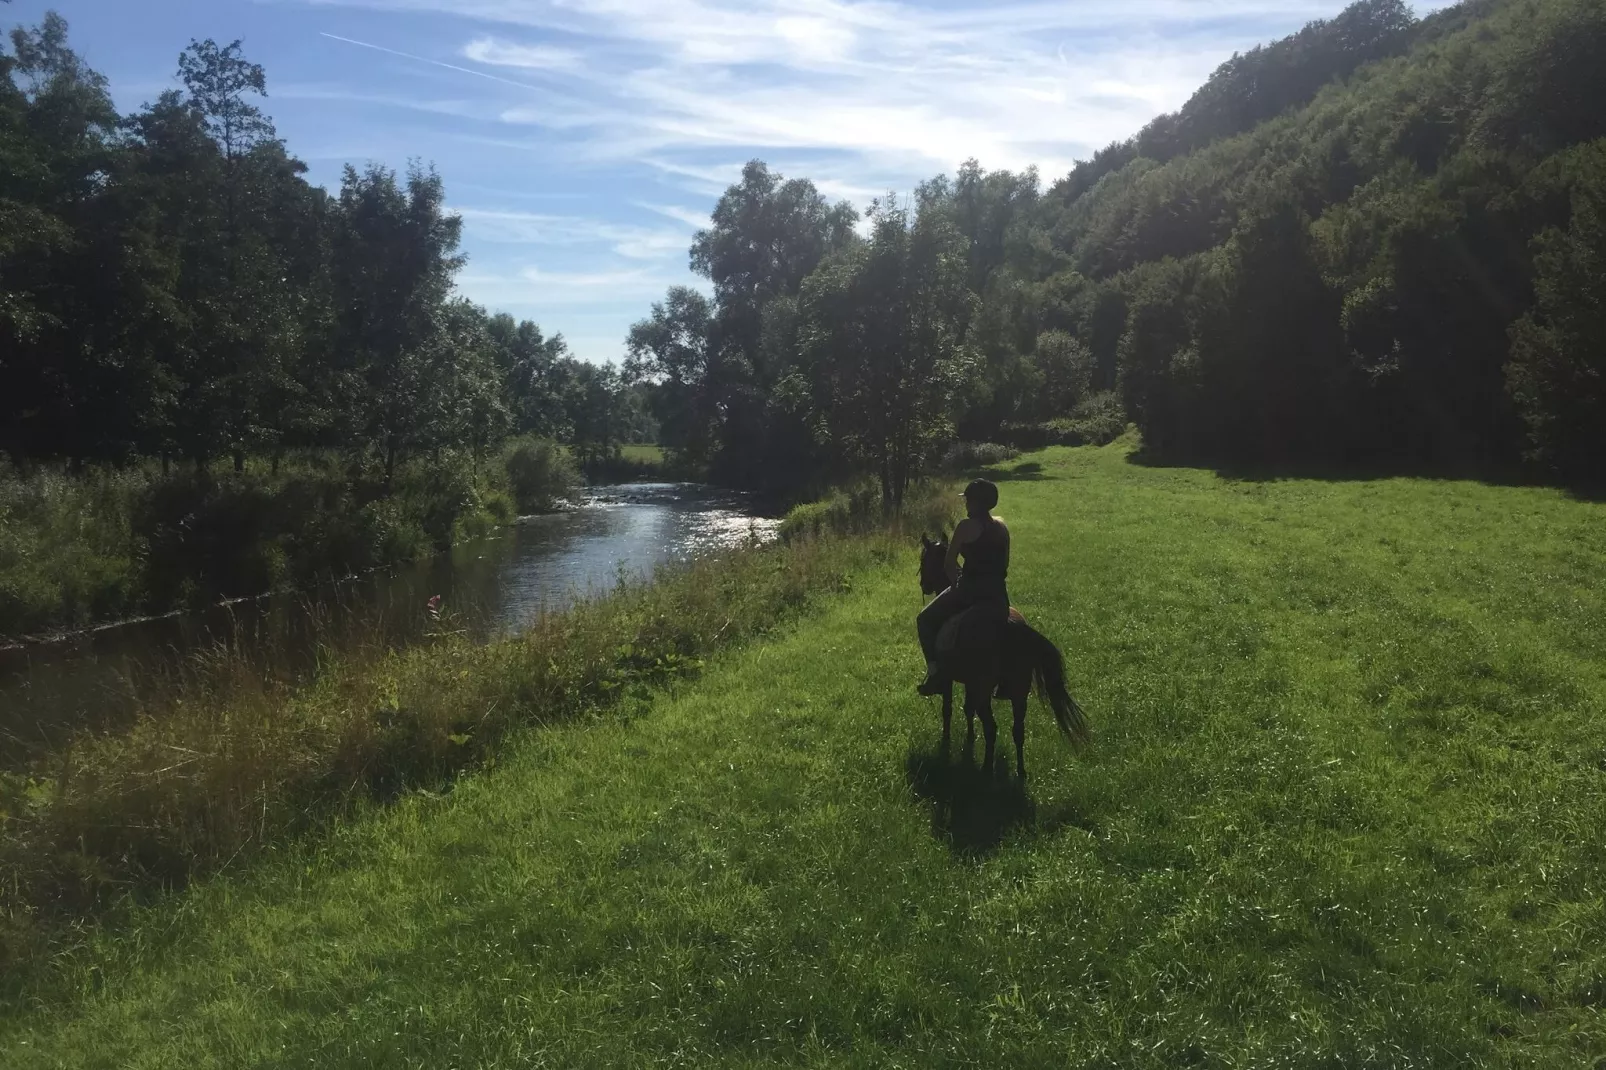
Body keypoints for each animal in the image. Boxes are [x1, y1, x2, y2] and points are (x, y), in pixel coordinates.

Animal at [918, 533, 1092, 774]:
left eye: (924, 560)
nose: (923, 585)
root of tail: (1010, 626)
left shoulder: (950, 680)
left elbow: (948, 709)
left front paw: (946, 742)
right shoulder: (970, 683)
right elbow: (967, 709)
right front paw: (969, 739)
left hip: (985, 690)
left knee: (992, 728)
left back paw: (986, 770)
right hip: (1018, 692)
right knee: (1017, 730)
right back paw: (1020, 771)